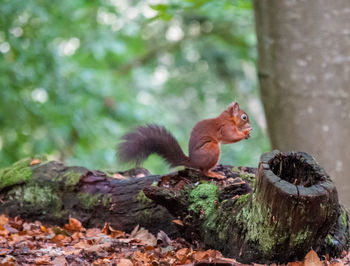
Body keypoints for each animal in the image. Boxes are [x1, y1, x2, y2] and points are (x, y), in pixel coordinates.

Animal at [117, 102, 252, 179]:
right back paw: (214, 174)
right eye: (244, 117)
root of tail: (192, 161)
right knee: (204, 171)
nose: (250, 125)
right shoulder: (225, 127)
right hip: (212, 149)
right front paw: (245, 132)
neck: (229, 118)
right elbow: (231, 137)